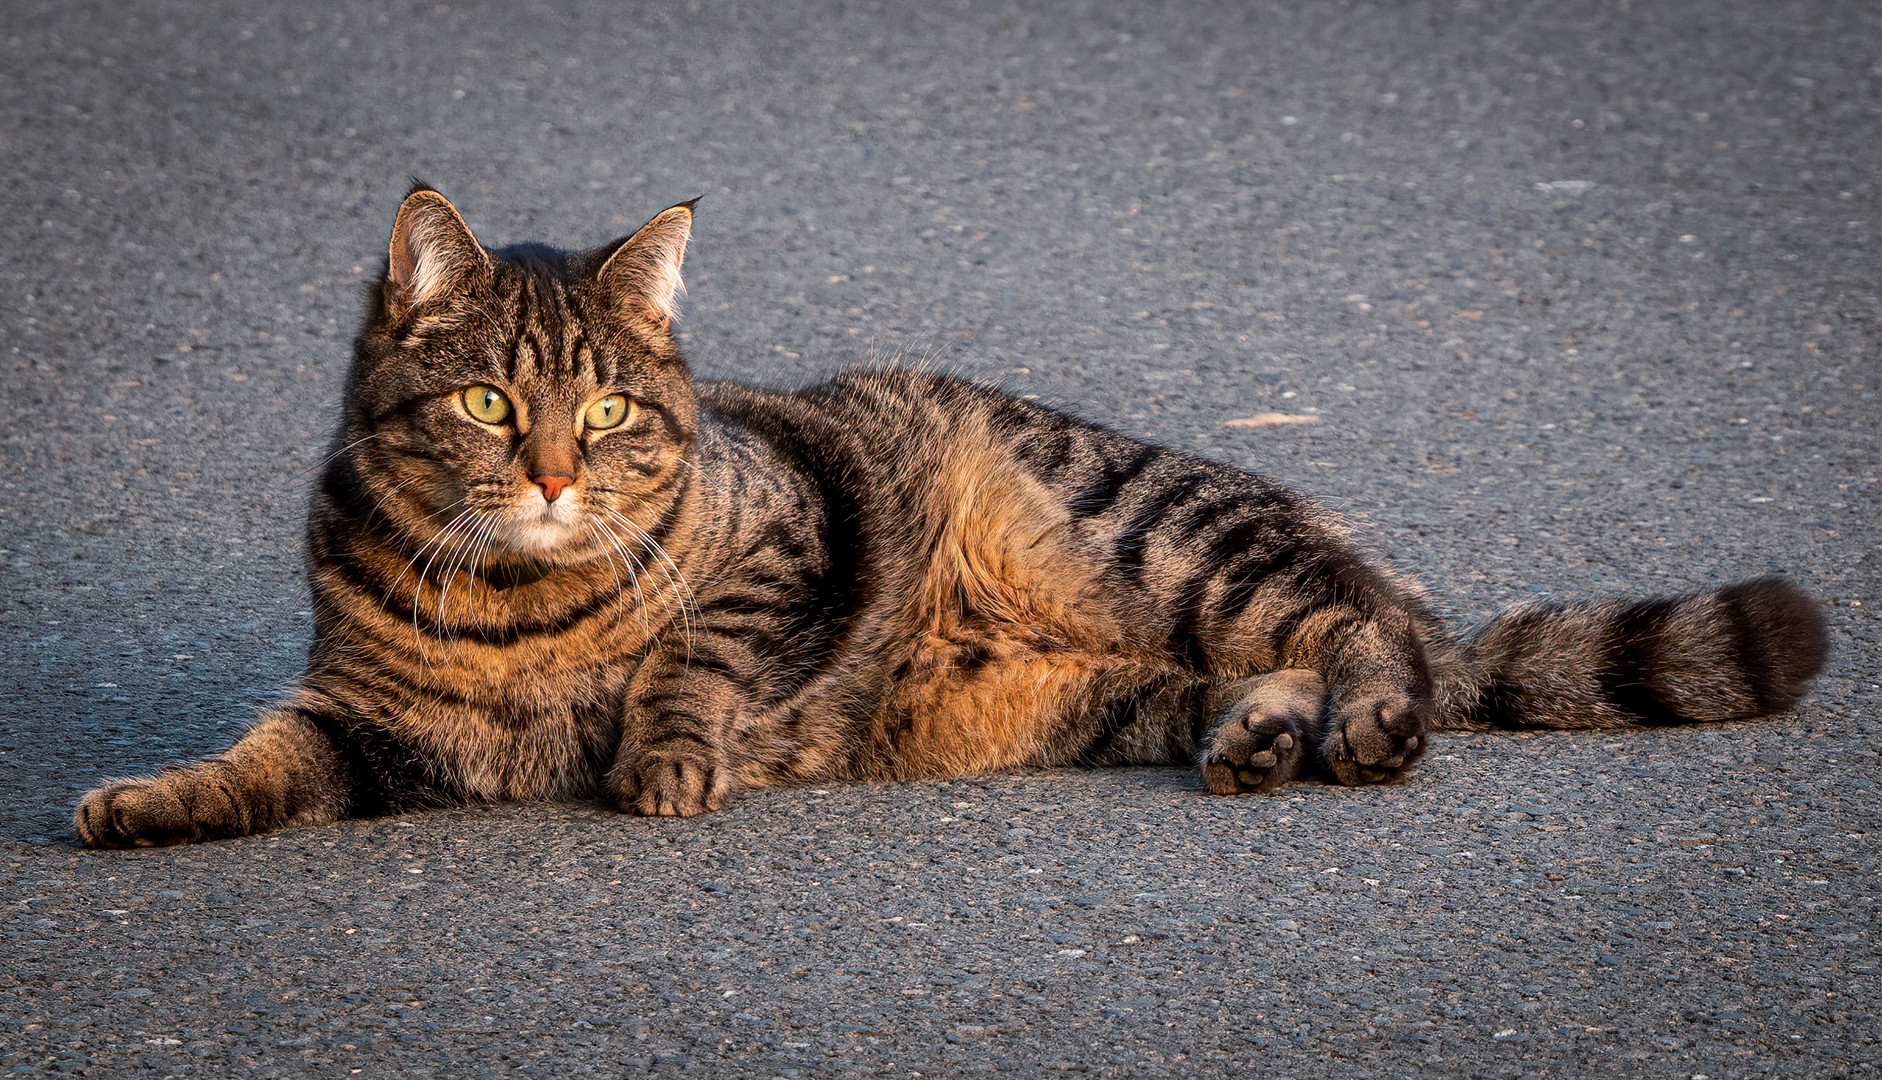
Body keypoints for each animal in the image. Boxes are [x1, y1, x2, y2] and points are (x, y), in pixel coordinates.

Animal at [69, 182, 1821, 850]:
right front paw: (148, 801)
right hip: (1108, 691)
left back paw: (1369, 719)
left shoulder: (779, 540)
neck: (516, 601)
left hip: (1173, 545)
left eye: (611, 413)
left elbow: (693, 657)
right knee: (1275, 672)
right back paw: (1264, 738)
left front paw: (666, 755)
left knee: (1363, 623)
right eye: (492, 406)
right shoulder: (365, 725)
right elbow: (258, 762)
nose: (557, 474)